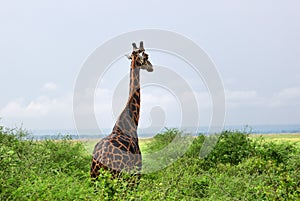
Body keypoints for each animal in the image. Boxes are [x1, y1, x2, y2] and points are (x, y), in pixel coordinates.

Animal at [90, 40, 154, 179]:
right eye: (146, 57)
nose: (151, 67)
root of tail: (101, 158)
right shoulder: (136, 173)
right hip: (118, 175)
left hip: (94, 177)